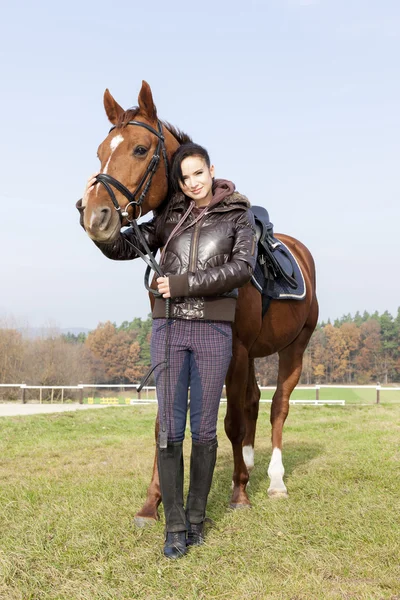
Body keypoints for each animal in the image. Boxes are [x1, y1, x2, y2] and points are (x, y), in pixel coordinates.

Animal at [81, 81, 318, 524]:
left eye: (140, 149)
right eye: (101, 151)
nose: (94, 216)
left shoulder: (235, 350)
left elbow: (231, 421)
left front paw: (239, 494)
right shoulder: (178, 350)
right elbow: (166, 423)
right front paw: (152, 502)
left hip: (294, 347)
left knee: (277, 407)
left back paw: (274, 481)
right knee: (254, 402)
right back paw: (250, 463)